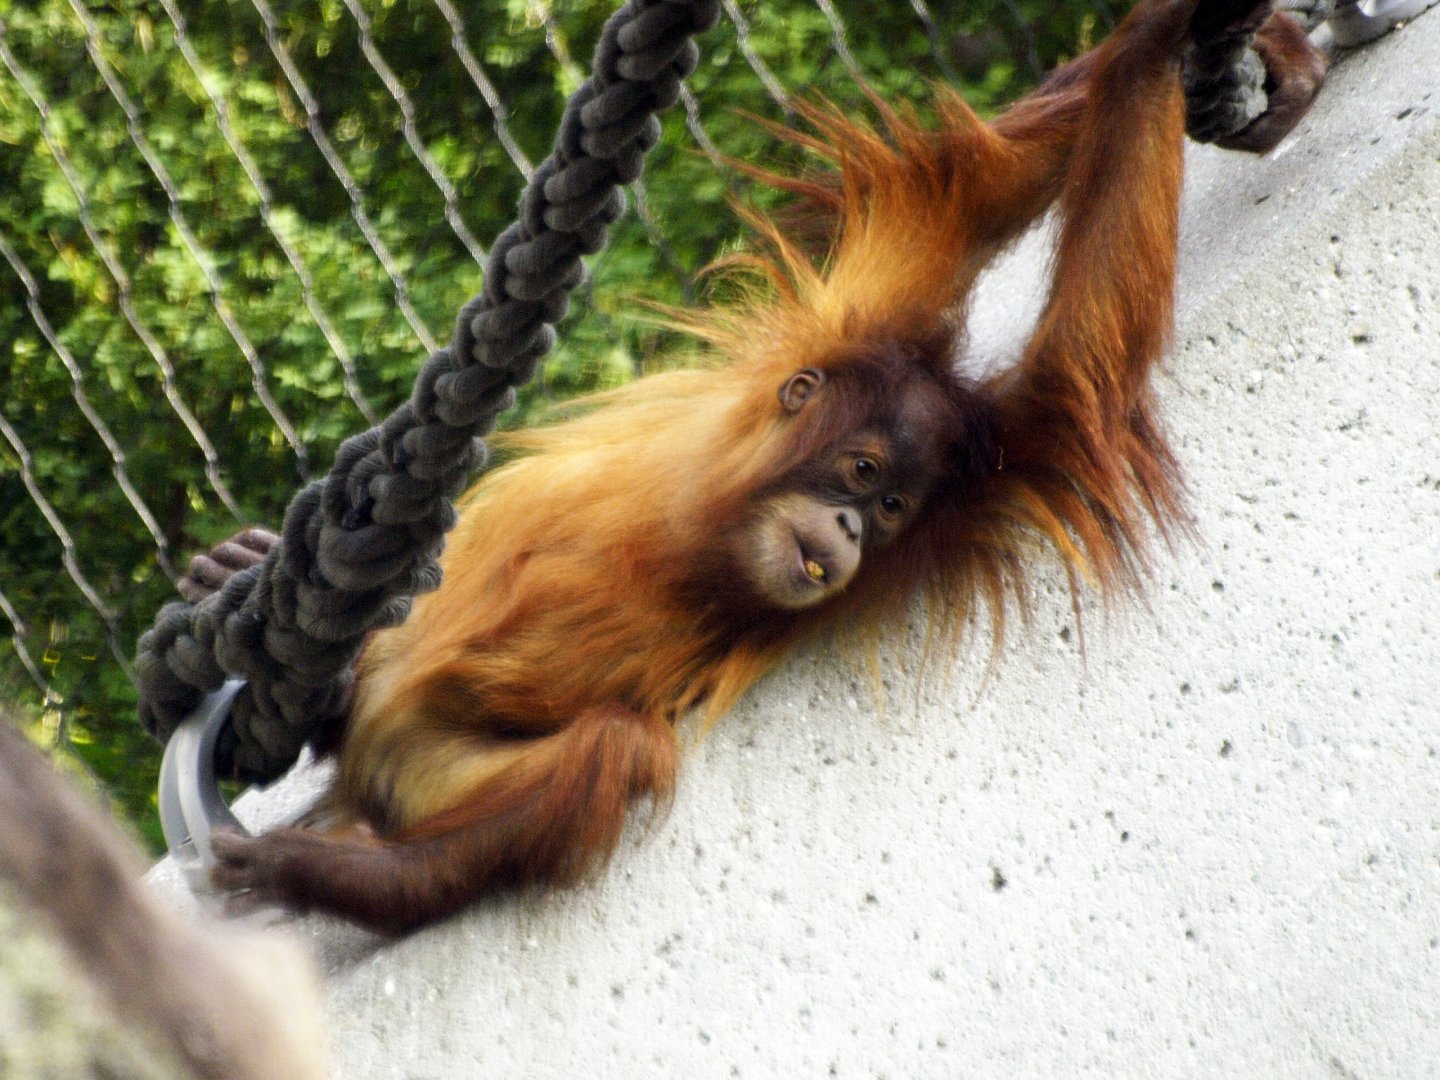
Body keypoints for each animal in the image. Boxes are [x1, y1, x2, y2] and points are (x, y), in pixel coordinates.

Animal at [194, 0, 1325, 934]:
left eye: (898, 506)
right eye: (863, 473)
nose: (856, 529)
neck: (703, 531)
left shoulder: (985, 471)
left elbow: (1075, 363)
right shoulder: (873, 305)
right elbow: (984, 185)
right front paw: (1180, 41)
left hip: (424, 776)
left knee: (611, 749)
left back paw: (337, 874)